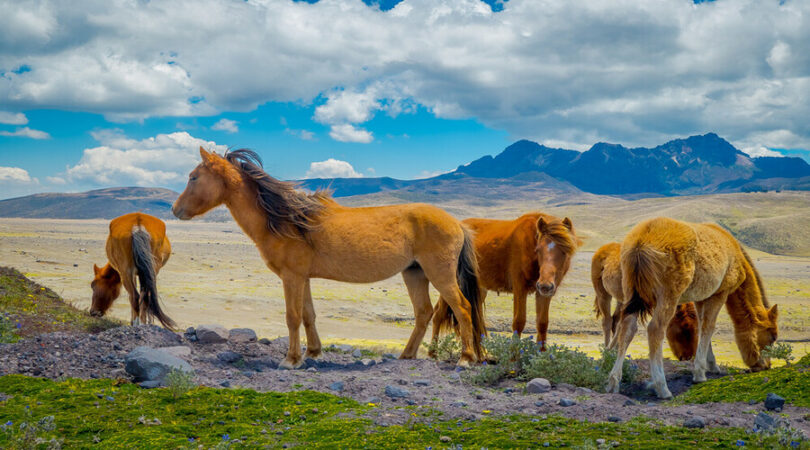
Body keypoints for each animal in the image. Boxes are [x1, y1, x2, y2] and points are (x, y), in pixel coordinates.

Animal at [173, 149, 482, 370]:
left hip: (439, 274)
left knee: (462, 308)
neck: (286, 221)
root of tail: (457, 223)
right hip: (414, 272)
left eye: (193, 177)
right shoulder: (303, 278)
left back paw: (466, 359)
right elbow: (308, 315)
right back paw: (406, 356)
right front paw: (313, 353)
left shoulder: (292, 277)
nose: (175, 209)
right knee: (423, 313)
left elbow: (292, 316)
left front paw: (290, 360)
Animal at [432, 213, 576, 350]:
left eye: (565, 251)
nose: (545, 285)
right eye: (538, 250)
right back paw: (433, 352)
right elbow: (519, 322)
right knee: (438, 314)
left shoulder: (543, 294)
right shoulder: (520, 289)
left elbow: (542, 323)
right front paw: (513, 356)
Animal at [608, 218, 776, 398]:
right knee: (655, 330)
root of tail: (640, 242)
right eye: (772, 338)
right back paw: (662, 387)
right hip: (668, 296)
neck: (734, 252)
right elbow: (709, 327)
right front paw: (700, 373)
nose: (766, 365)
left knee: (627, 329)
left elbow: (702, 327)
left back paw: (614, 383)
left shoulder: (701, 298)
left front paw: (711, 365)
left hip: (629, 293)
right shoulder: (719, 294)